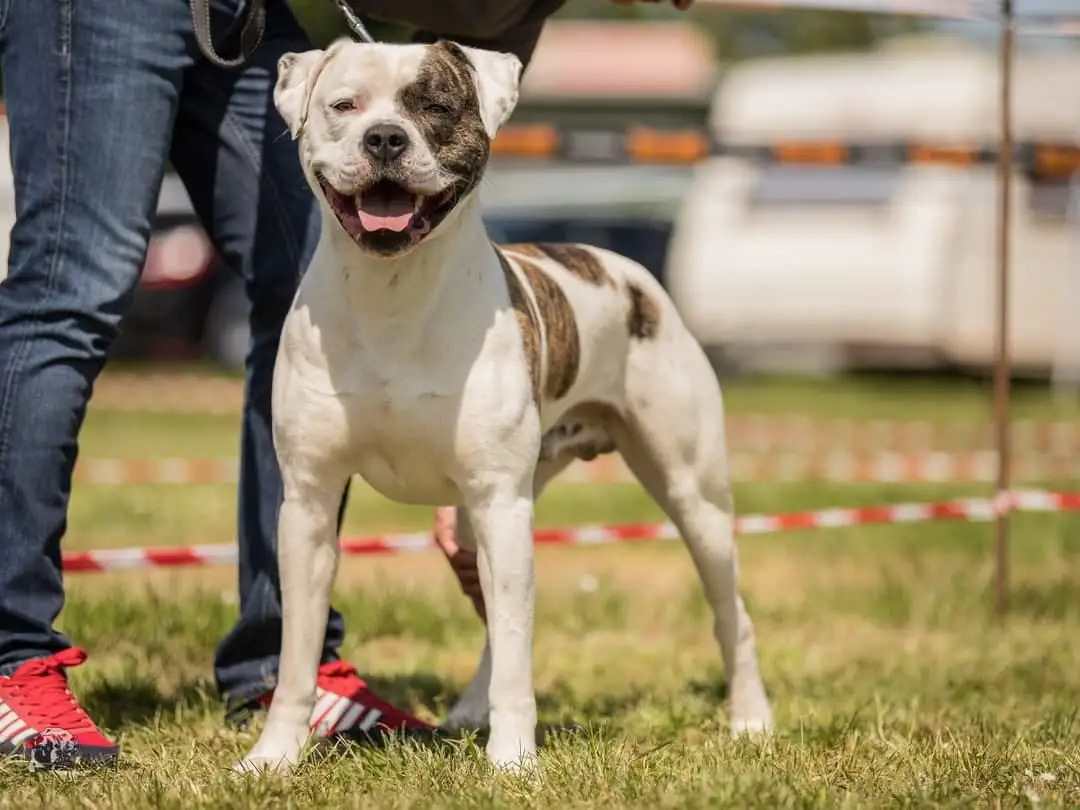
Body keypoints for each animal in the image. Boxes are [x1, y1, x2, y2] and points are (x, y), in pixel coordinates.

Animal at [239, 36, 773, 773]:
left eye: (435, 107)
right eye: (344, 105)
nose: (384, 137)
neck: (390, 292)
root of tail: (623, 268)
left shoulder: (501, 498)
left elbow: (520, 652)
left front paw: (514, 762)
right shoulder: (310, 506)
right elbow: (296, 656)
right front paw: (272, 758)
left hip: (692, 498)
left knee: (730, 612)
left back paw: (751, 719)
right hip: (476, 520)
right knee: (499, 616)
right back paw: (469, 709)